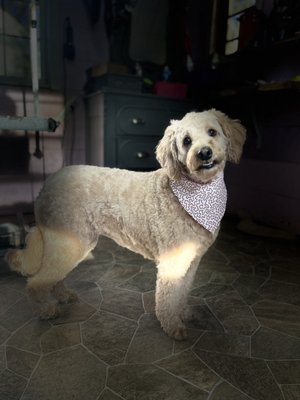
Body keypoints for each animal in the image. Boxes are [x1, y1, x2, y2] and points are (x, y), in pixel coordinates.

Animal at [5, 110, 246, 340]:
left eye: (212, 132)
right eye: (186, 141)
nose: (204, 153)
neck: (193, 191)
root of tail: (46, 186)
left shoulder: (190, 260)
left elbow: (183, 291)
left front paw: (183, 312)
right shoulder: (172, 263)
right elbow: (168, 297)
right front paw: (172, 325)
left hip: (71, 243)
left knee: (52, 277)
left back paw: (63, 295)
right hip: (70, 243)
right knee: (36, 282)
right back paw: (45, 309)